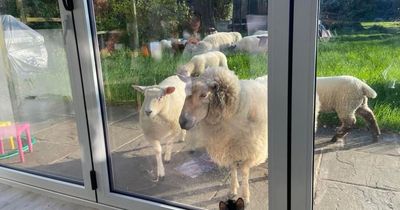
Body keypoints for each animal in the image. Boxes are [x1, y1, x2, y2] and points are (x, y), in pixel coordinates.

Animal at [177, 66, 266, 203]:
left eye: (203, 95)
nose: (182, 122)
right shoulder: (229, 148)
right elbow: (232, 168)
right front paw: (233, 189)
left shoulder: (252, 151)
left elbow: (244, 171)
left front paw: (245, 196)